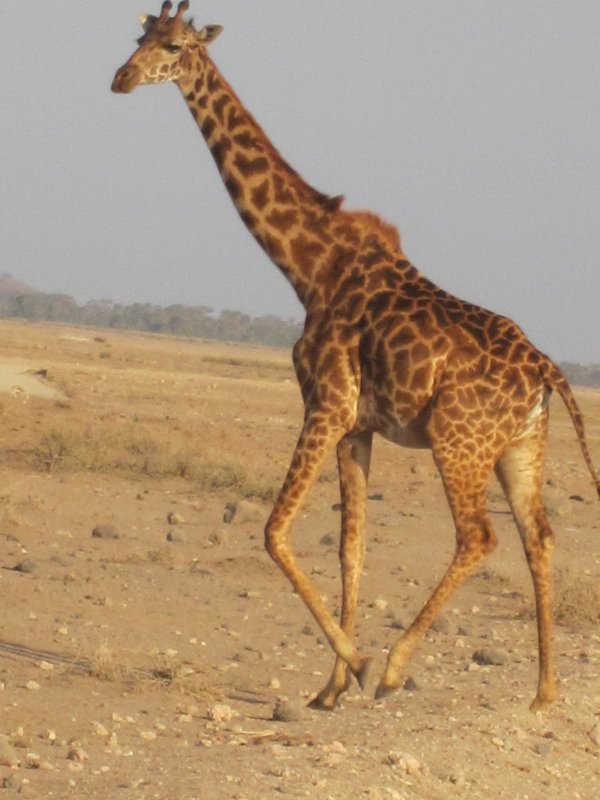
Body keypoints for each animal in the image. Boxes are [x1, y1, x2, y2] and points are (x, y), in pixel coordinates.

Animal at [112, 1, 600, 712]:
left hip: (459, 441)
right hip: (520, 448)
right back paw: (544, 692)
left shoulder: (327, 404)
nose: (121, 79)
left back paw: (397, 666)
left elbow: (274, 530)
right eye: (138, 37)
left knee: (479, 536)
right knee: (539, 537)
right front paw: (329, 688)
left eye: (174, 46)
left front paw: (362, 666)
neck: (309, 266)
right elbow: (353, 547)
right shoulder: (358, 426)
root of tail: (547, 371)